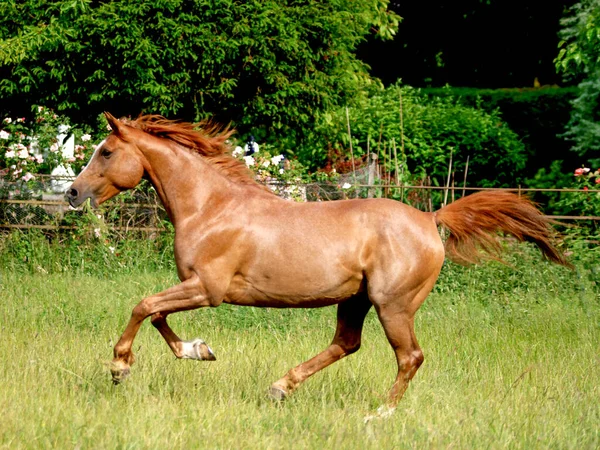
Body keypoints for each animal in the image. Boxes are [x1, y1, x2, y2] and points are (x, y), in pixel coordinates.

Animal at [68, 113, 568, 412]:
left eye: (106, 151)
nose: (72, 193)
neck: (211, 207)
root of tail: (430, 218)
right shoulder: (196, 287)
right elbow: (157, 316)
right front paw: (199, 350)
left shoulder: (207, 289)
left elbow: (144, 305)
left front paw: (119, 368)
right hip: (356, 300)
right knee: (347, 344)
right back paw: (280, 387)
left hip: (393, 304)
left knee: (409, 356)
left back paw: (379, 415)